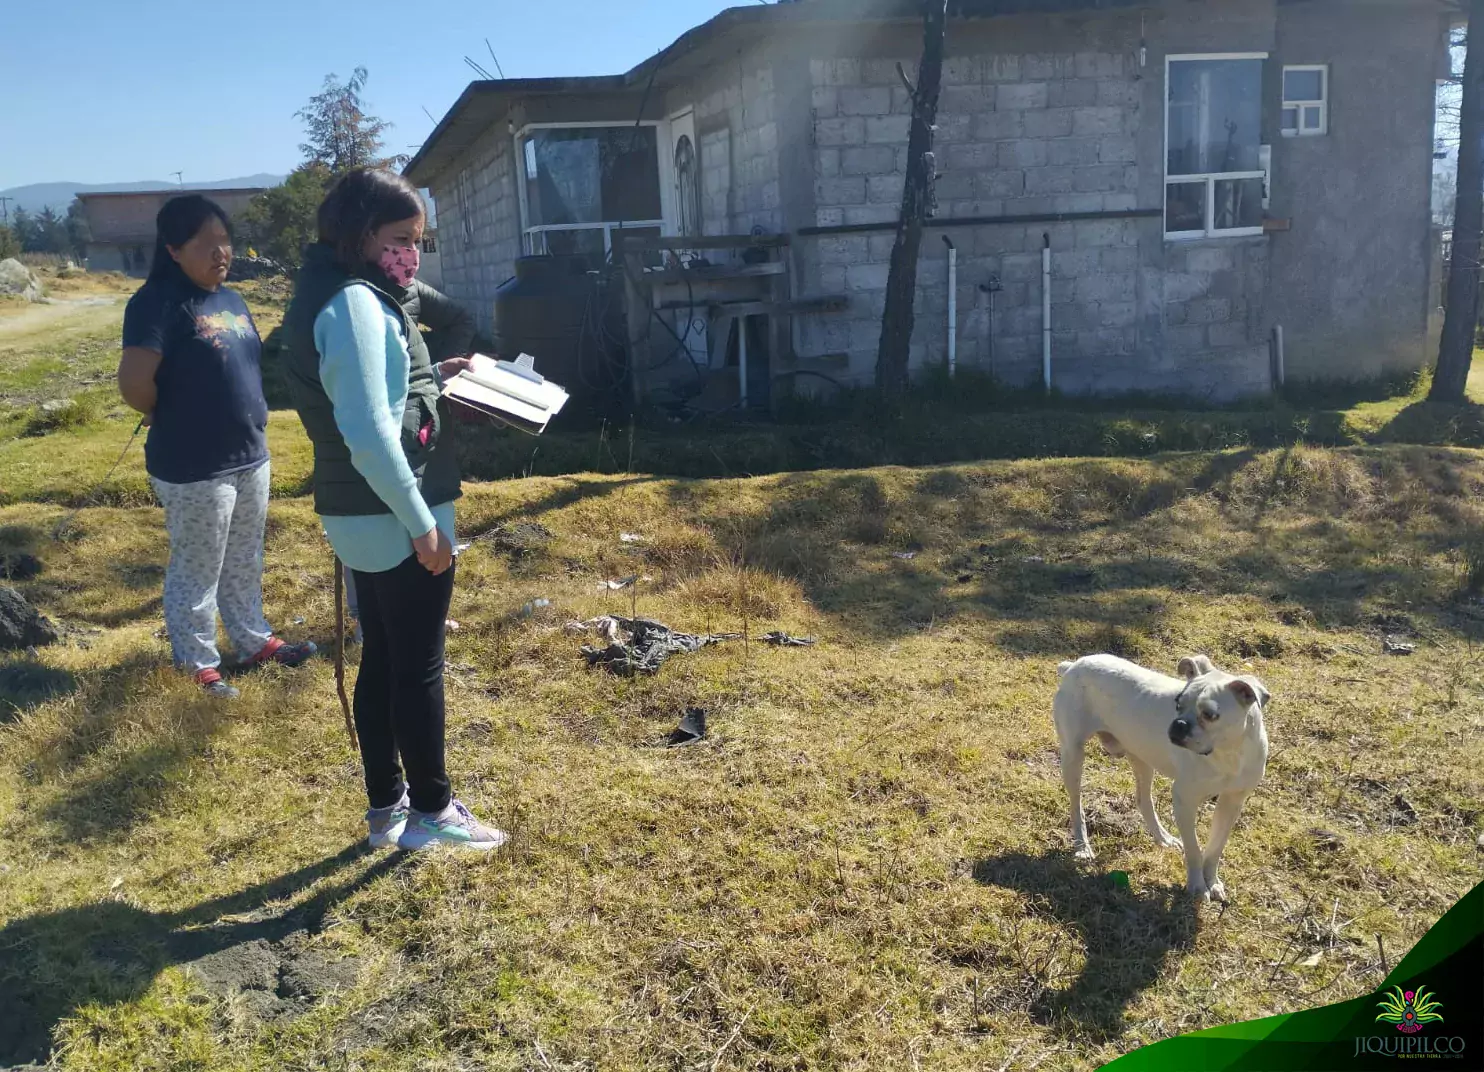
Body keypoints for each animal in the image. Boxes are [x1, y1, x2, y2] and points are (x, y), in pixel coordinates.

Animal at [1050, 656, 1270, 896]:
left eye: (1210, 715)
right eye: (1178, 704)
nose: (1179, 724)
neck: (1228, 753)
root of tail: (1074, 665)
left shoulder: (1232, 802)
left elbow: (1215, 848)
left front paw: (1212, 882)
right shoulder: (1185, 800)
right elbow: (1194, 848)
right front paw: (1197, 886)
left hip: (1141, 759)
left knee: (1143, 801)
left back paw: (1163, 838)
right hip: (1073, 755)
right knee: (1076, 805)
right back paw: (1083, 847)